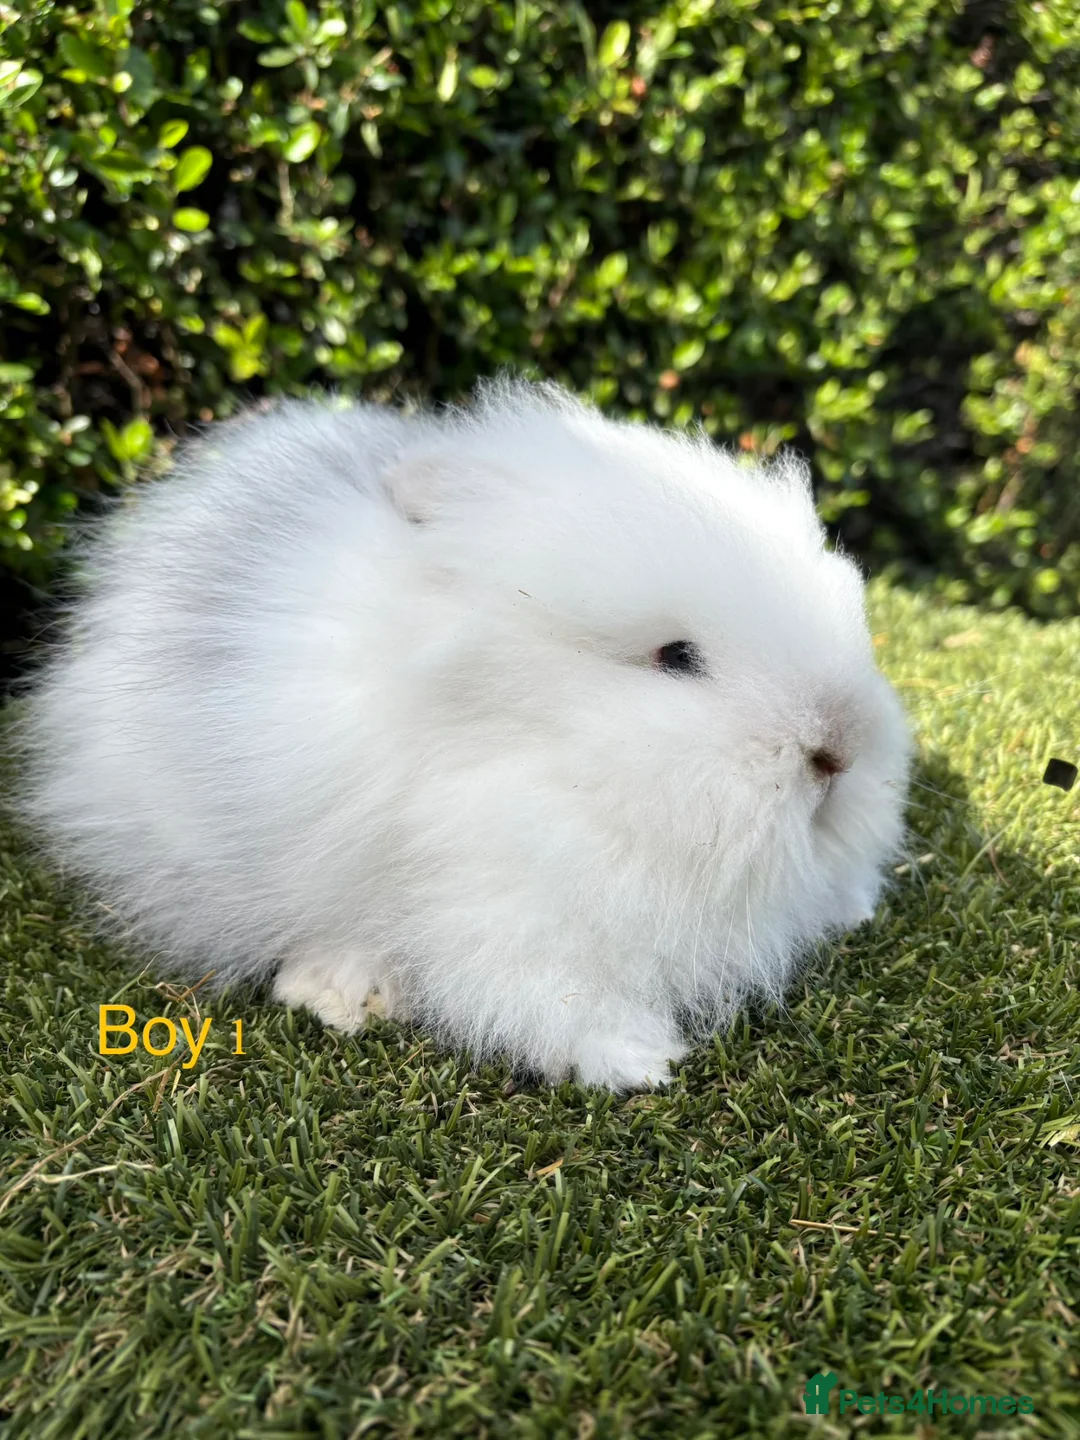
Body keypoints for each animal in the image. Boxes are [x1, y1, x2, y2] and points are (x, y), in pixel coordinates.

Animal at [9, 377, 914, 1092]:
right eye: (676, 657)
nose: (836, 752)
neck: (554, 749)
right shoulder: (510, 911)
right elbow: (542, 992)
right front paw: (638, 1061)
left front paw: (856, 908)